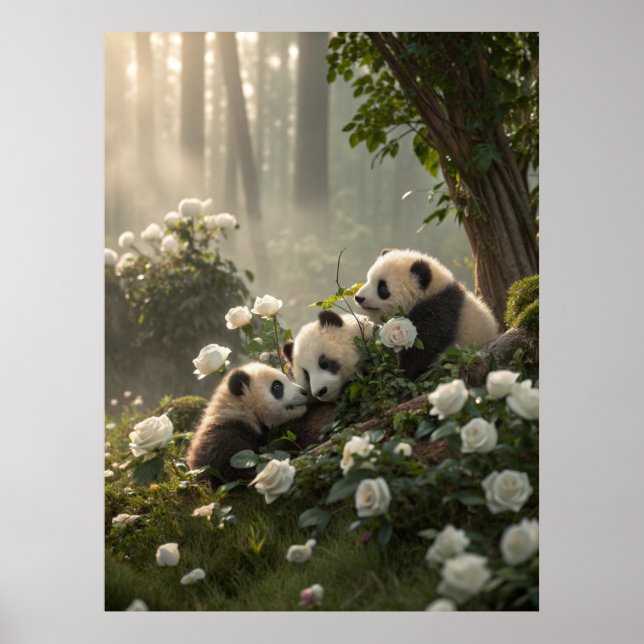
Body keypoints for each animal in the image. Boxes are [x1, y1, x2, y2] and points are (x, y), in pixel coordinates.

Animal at [354, 248, 499, 380]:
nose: (358, 297)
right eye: (369, 280)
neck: (429, 293)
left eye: (382, 288)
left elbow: (421, 351)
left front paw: (403, 374)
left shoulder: (437, 314)